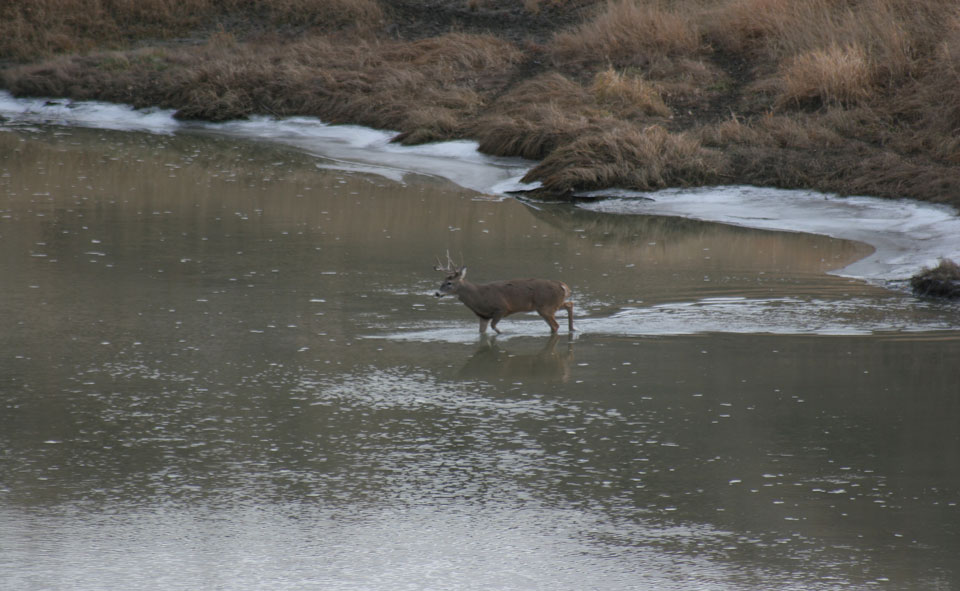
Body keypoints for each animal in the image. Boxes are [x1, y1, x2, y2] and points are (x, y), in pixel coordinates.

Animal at [436, 253, 576, 338]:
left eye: (449, 283)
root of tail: (563, 286)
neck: (479, 297)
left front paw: (505, 333)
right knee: (569, 304)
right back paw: (572, 329)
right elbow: (481, 332)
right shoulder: (483, 316)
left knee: (556, 325)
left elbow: (494, 327)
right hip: (552, 304)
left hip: (546, 307)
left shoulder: (501, 308)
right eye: (442, 281)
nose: (437, 293)